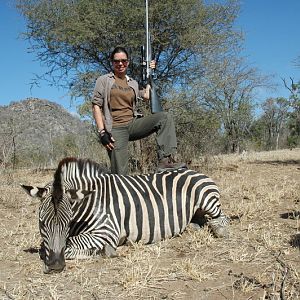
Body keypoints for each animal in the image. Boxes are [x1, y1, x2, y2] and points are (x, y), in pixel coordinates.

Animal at [21, 158, 230, 274]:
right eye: (42, 223)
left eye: (67, 222)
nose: (55, 266)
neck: (89, 201)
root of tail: (193, 170)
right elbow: (45, 247)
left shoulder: (106, 231)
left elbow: (70, 244)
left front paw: (102, 251)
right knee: (200, 221)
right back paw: (191, 227)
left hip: (207, 200)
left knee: (221, 219)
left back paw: (220, 231)